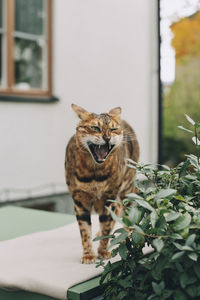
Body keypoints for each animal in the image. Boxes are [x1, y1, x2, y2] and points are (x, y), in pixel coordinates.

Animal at [65, 104, 139, 264]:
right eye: (95, 128)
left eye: (113, 129)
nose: (107, 137)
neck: (94, 175)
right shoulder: (79, 200)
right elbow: (84, 230)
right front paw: (88, 254)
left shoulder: (108, 197)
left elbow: (106, 225)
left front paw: (103, 251)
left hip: (127, 187)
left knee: (126, 211)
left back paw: (126, 235)